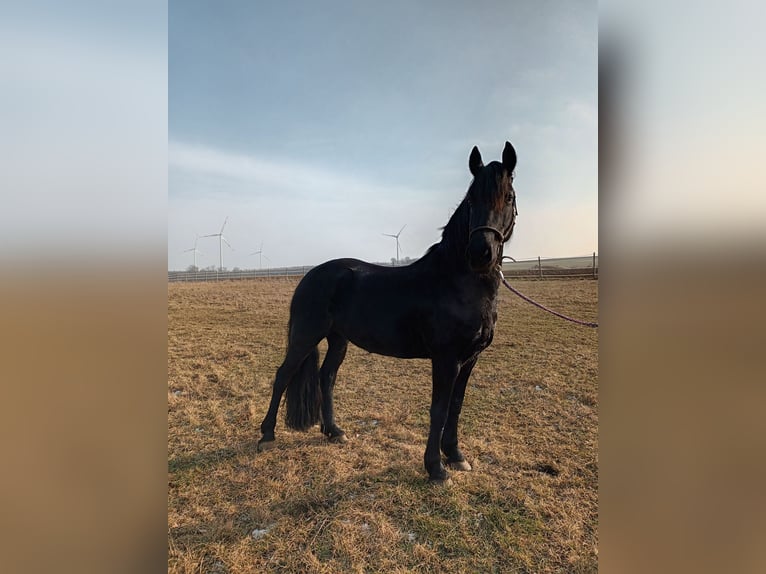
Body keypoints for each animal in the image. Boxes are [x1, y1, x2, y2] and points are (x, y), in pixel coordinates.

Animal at [258, 141, 519, 483]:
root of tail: (311, 275)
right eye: (472, 197)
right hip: (305, 336)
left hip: (338, 339)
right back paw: (266, 435)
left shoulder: (470, 359)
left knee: (326, 377)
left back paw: (334, 431)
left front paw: (456, 456)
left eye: (509, 197)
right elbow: (439, 409)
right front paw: (436, 468)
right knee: (283, 375)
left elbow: (457, 406)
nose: (480, 253)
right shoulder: (446, 359)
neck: (456, 281)